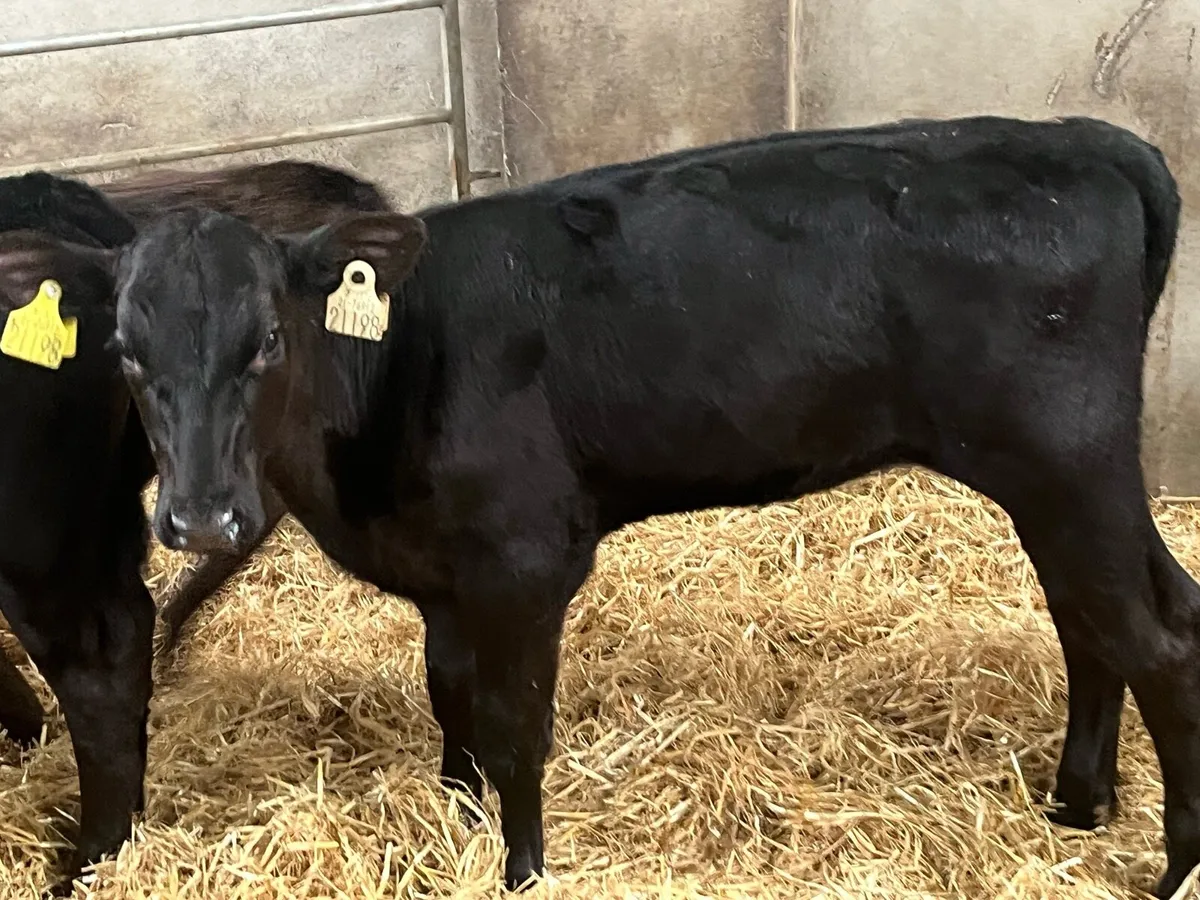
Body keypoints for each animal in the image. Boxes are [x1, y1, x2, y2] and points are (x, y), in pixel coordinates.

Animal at [59, 115, 1196, 896]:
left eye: (269, 340)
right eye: (124, 350)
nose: (202, 521)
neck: (389, 373)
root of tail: (1082, 138)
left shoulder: (528, 559)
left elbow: (516, 724)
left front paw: (521, 869)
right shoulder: (445, 575)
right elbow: (451, 702)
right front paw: (458, 826)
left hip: (1063, 462)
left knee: (1157, 641)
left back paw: (1172, 866)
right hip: (1066, 480)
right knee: (1111, 619)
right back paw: (1078, 804)